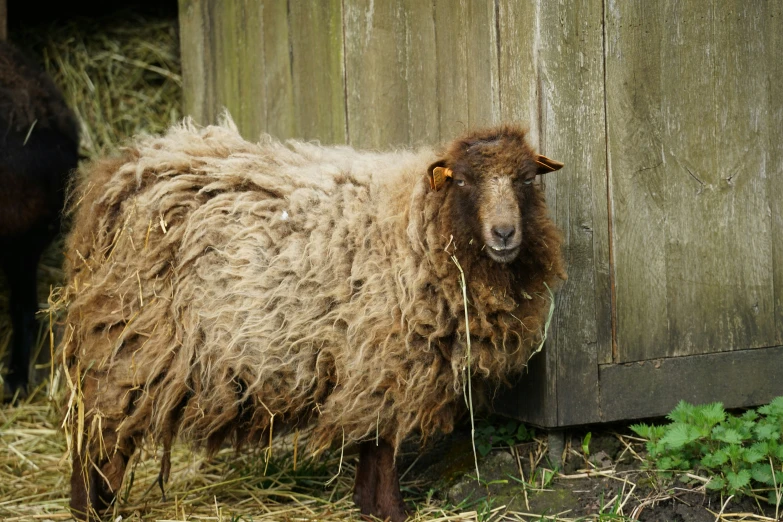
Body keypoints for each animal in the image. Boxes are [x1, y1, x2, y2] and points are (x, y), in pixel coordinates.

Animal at [61, 116, 564, 516]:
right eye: (462, 181)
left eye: (526, 180)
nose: (504, 233)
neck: (414, 225)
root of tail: (121, 171)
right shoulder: (384, 359)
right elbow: (383, 443)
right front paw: (390, 511)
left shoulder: (376, 365)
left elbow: (374, 443)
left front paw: (367, 504)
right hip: (131, 342)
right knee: (98, 431)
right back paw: (91, 507)